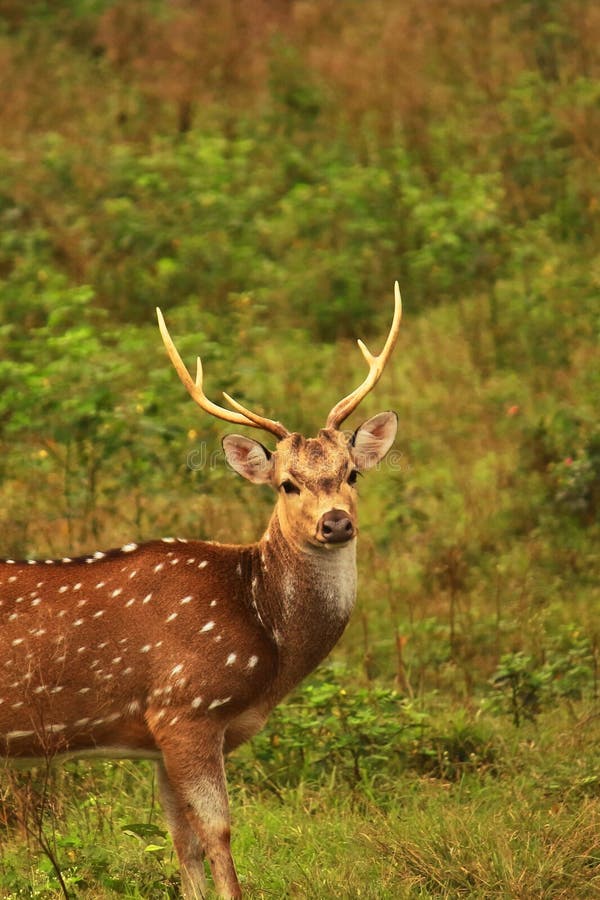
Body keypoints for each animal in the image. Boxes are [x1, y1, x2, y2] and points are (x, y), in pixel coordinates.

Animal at [1, 284, 404, 896]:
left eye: (352, 473)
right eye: (287, 484)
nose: (336, 523)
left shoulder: (155, 736)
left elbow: (181, 843)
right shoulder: (185, 708)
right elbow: (219, 833)